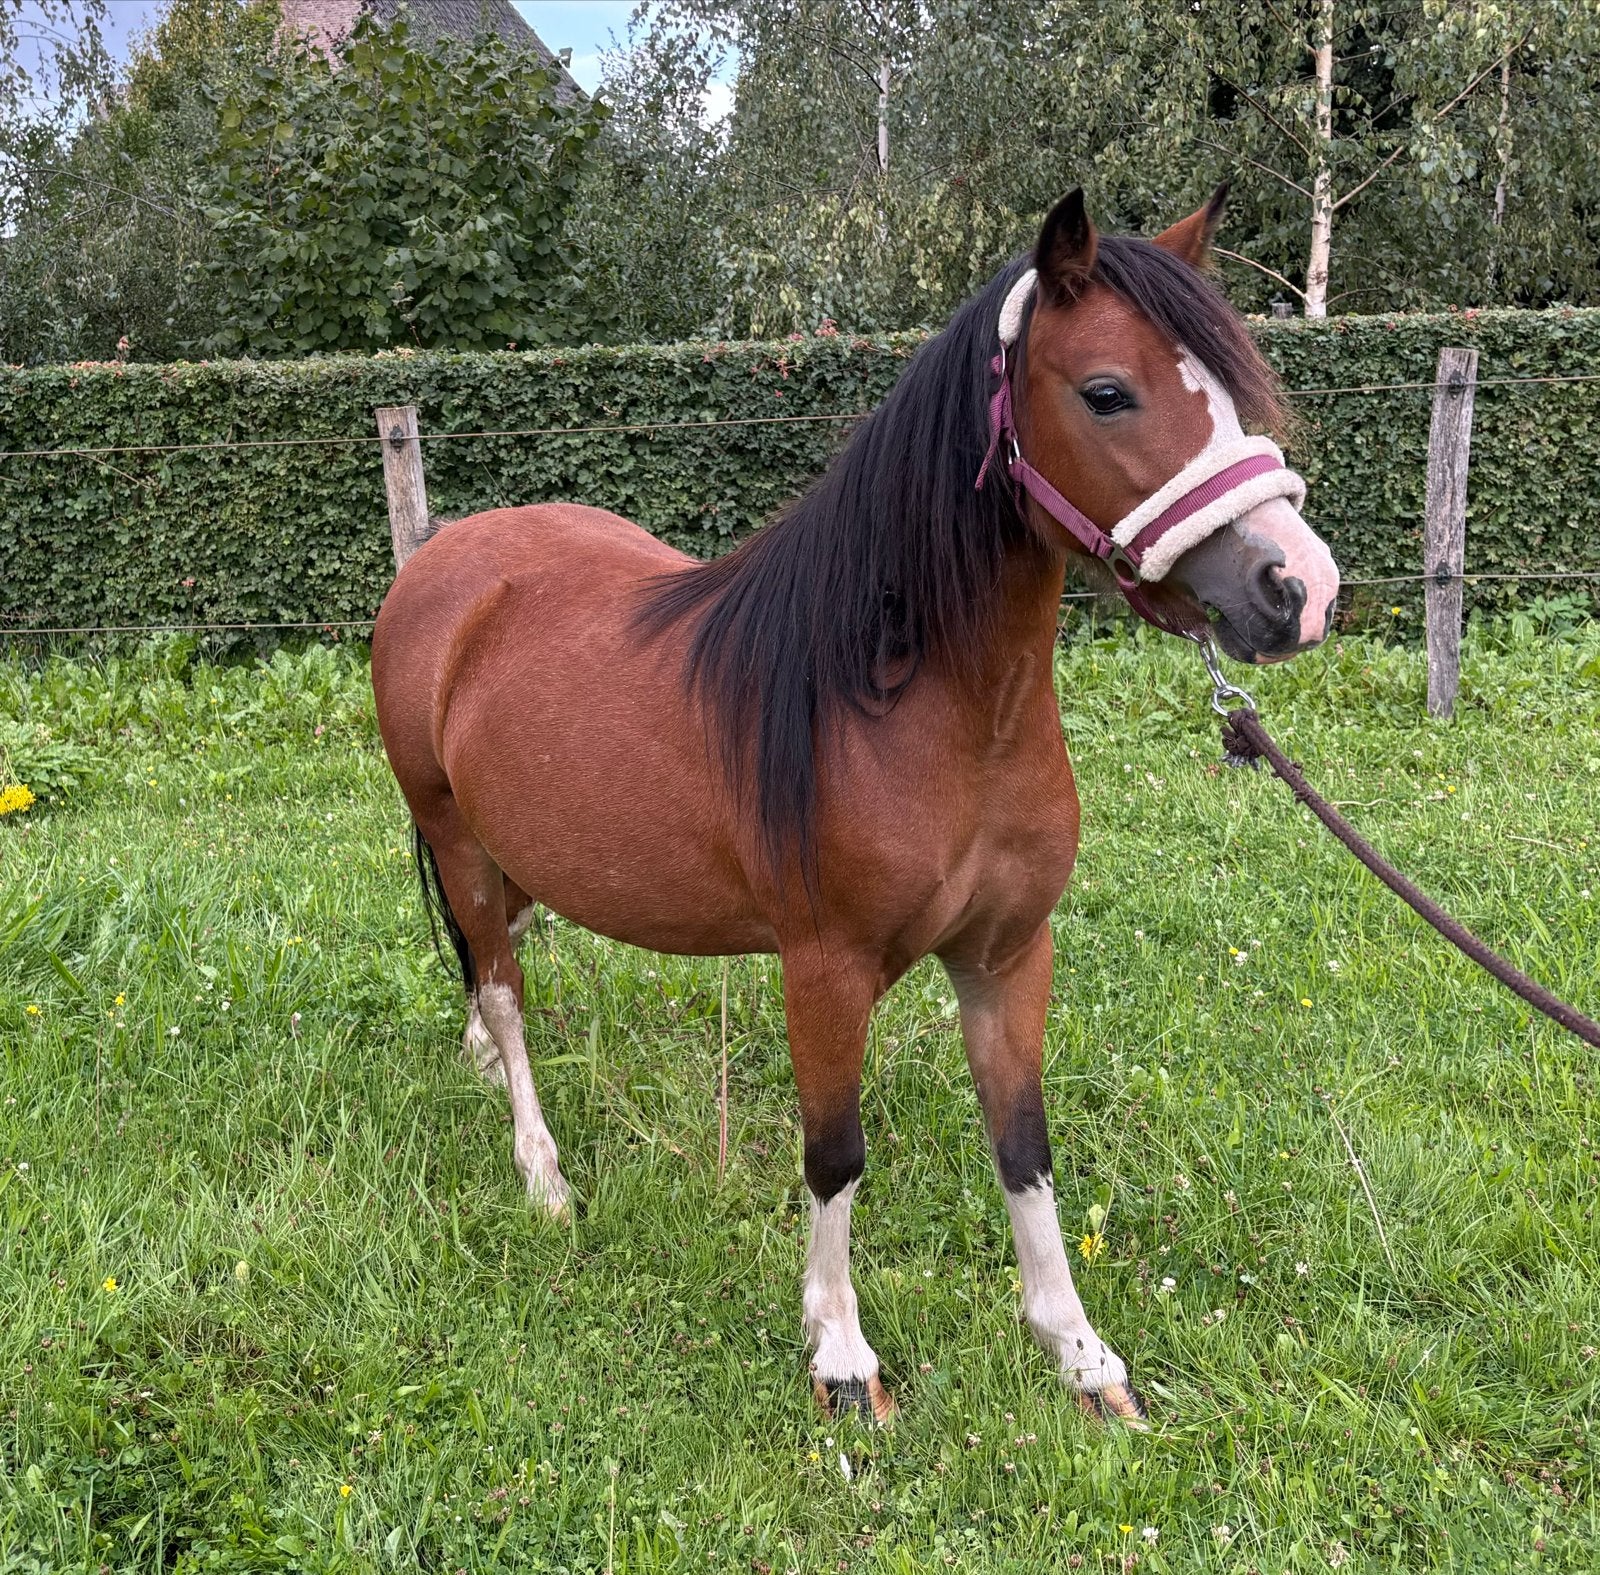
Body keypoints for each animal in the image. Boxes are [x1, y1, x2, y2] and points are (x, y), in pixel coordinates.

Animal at [371, 187, 1340, 1428]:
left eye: (1231, 381)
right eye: (1107, 391)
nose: (1297, 588)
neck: (914, 704)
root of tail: (447, 563)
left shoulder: (1007, 955)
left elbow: (1022, 1144)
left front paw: (1077, 1353)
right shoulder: (823, 971)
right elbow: (834, 1154)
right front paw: (840, 1356)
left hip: (514, 852)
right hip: (454, 836)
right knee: (500, 986)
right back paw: (541, 1174)